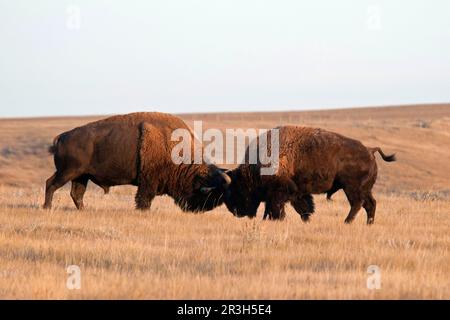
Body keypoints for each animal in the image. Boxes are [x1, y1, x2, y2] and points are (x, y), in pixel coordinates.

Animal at [43, 112, 230, 212]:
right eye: (204, 193)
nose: (196, 209)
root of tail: (62, 137)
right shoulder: (148, 182)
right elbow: (144, 199)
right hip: (67, 172)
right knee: (51, 184)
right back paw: (47, 207)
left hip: (81, 176)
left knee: (76, 194)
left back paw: (83, 210)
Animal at [223, 125, 396, 225]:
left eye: (239, 188)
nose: (235, 211)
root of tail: (370, 150)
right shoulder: (297, 192)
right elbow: (302, 207)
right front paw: (306, 220)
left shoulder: (280, 192)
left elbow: (278, 207)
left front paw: (278, 219)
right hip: (365, 189)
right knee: (370, 204)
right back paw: (368, 224)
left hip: (352, 188)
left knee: (357, 204)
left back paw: (346, 222)